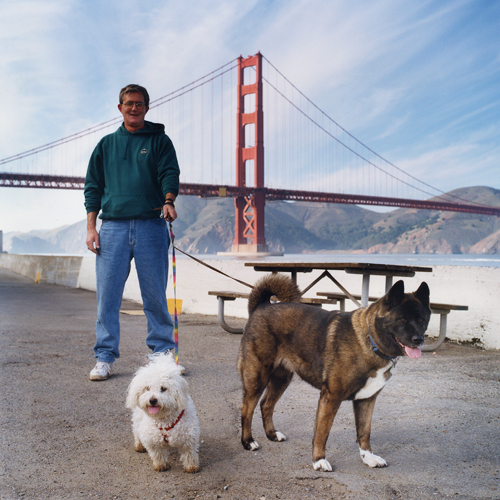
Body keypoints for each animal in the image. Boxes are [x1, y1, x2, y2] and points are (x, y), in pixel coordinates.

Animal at [237, 274, 430, 472]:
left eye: (422, 320)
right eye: (402, 320)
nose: (418, 339)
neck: (369, 340)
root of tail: (262, 306)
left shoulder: (367, 400)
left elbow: (364, 432)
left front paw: (368, 457)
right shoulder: (330, 398)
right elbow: (322, 433)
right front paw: (319, 460)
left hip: (282, 378)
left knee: (266, 405)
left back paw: (272, 434)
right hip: (257, 378)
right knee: (247, 409)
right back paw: (248, 441)